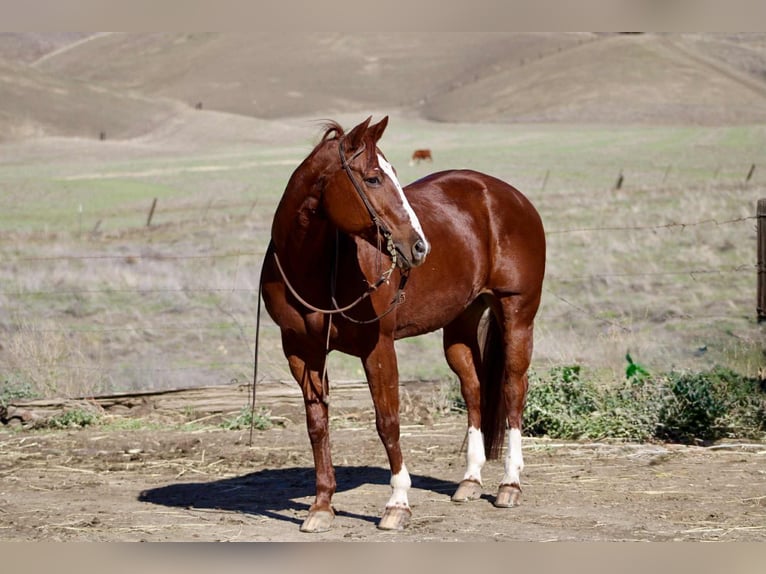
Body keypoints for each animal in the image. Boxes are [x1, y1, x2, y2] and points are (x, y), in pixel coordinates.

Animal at [261, 116, 545, 532]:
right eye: (374, 178)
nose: (419, 246)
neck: (312, 266)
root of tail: (510, 197)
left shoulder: (377, 347)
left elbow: (387, 421)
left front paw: (397, 503)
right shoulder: (301, 351)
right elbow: (317, 425)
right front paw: (321, 505)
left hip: (517, 314)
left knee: (512, 389)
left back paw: (510, 484)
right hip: (460, 324)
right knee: (474, 389)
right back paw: (471, 480)